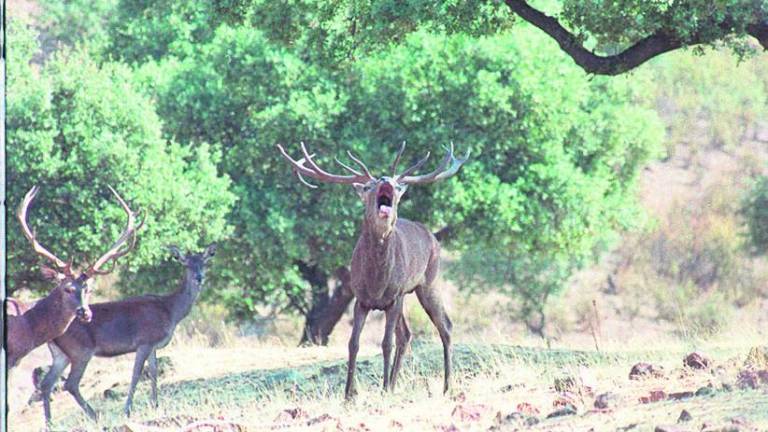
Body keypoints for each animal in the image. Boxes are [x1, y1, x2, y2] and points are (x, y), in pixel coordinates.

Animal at [41, 245, 216, 424]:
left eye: (204, 262)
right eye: (186, 264)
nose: (199, 277)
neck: (171, 311)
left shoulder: (153, 345)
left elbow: (154, 371)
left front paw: (155, 404)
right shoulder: (144, 341)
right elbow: (136, 374)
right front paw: (127, 410)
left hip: (61, 354)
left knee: (47, 383)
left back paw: (49, 423)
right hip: (81, 351)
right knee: (70, 383)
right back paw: (94, 416)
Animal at [276, 141, 468, 398]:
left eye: (397, 186)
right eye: (368, 186)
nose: (386, 179)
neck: (376, 281)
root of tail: (432, 236)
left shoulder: (394, 297)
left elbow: (386, 343)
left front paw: (383, 388)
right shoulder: (360, 298)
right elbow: (353, 343)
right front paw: (349, 394)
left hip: (428, 281)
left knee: (444, 326)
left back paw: (446, 387)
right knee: (406, 334)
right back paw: (396, 385)